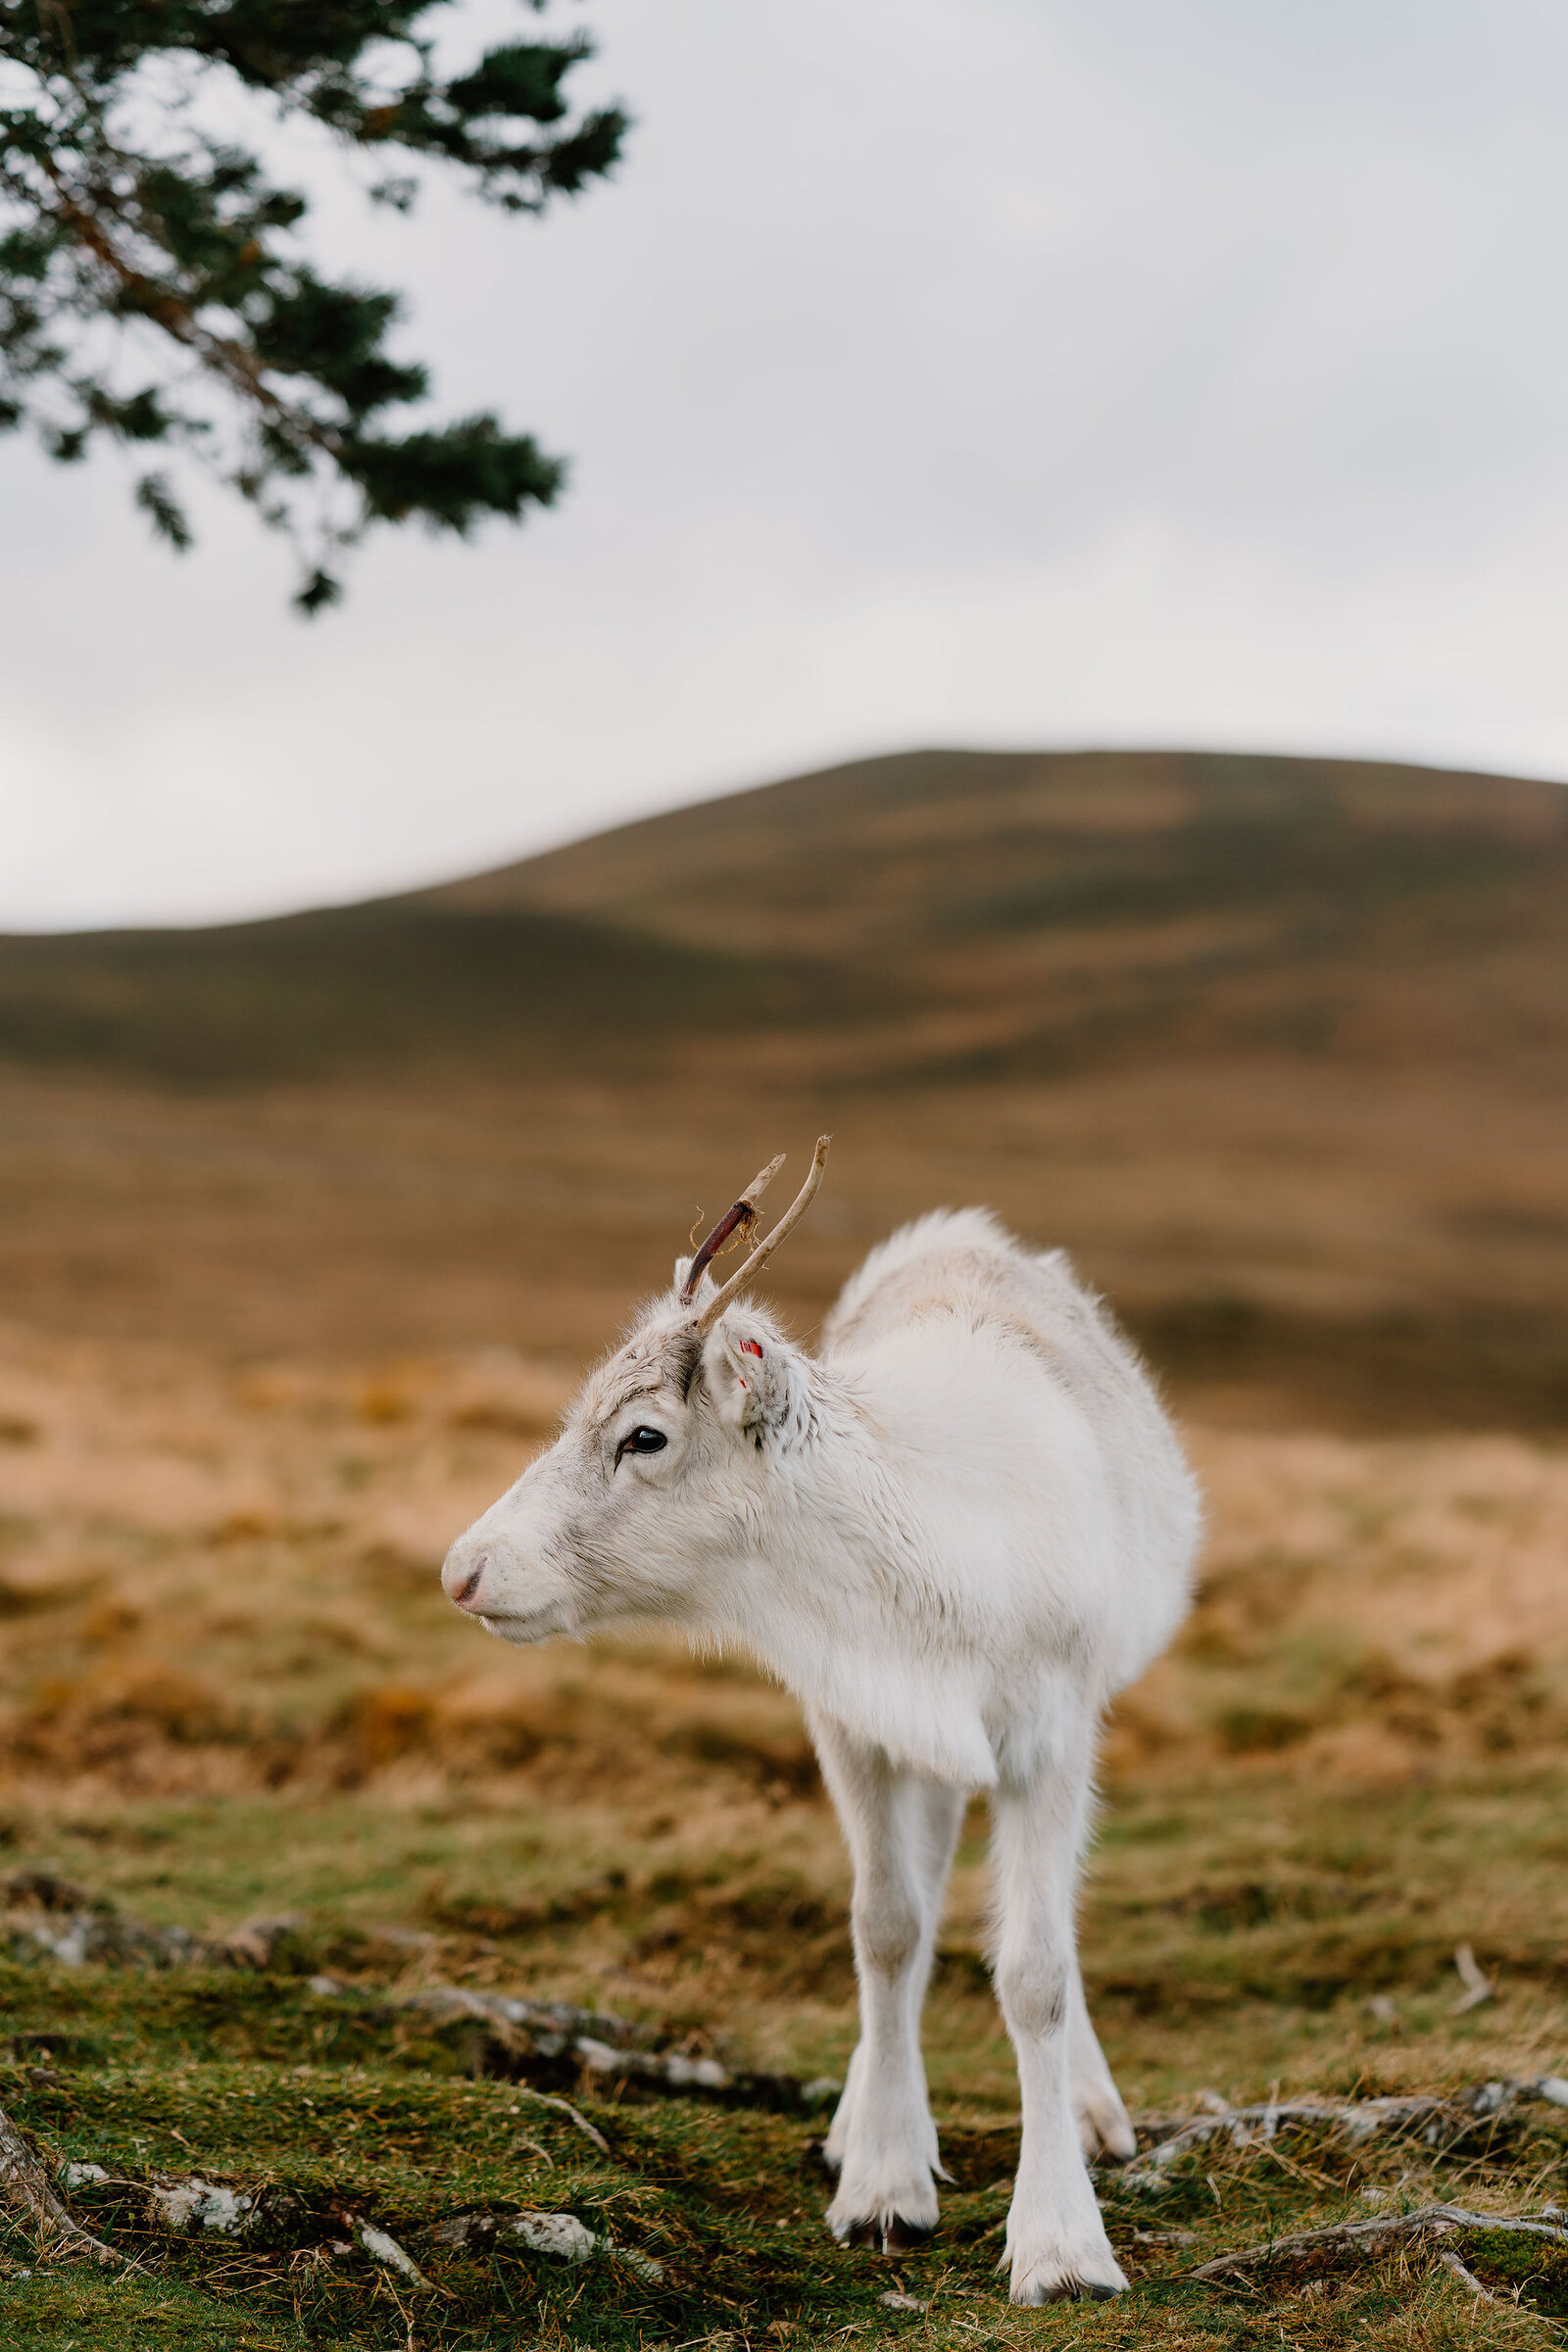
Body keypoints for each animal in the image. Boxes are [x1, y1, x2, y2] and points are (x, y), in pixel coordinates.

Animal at [440, 1140, 1200, 2303]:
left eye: (644, 1434)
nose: (465, 1570)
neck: (933, 1570)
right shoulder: (853, 1723)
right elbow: (885, 1930)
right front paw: (883, 2186)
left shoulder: (1050, 1735)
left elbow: (1036, 1972)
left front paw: (1062, 2247)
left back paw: (1087, 2109)